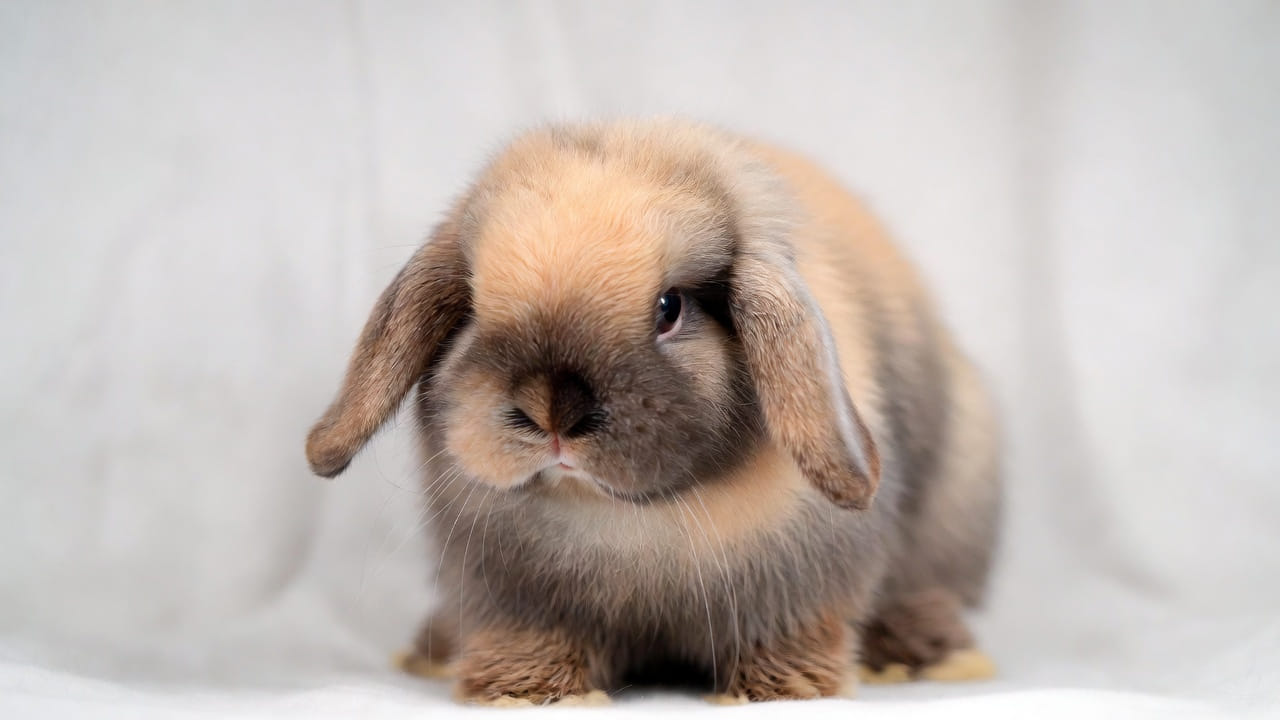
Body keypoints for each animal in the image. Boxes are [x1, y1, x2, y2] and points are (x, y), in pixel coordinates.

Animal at [305, 119, 1001, 704]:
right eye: (473, 304)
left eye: (670, 307)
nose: (551, 410)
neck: (630, 526)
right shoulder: (512, 597)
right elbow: (528, 640)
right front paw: (524, 692)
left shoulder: (800, 592)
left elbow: (786, 639)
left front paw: (777, 693)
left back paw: (921, 654)